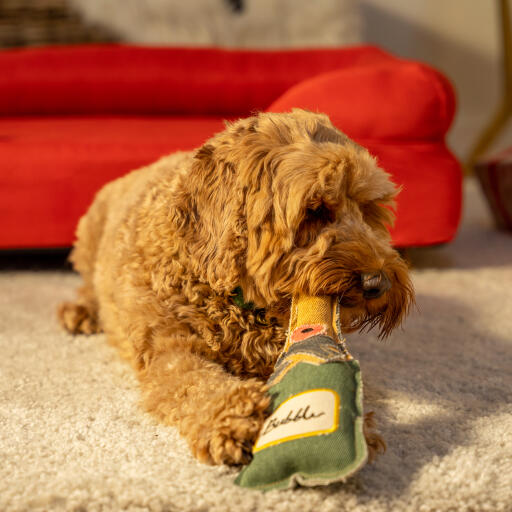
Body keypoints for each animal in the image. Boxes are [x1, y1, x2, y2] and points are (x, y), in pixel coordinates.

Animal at [58, 110, 414, 466]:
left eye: (368, 209)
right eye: (314, 210)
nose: (378, 283)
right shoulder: (168, 349)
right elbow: (194, 382)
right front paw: (234, 417)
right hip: (89, 238)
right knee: (88, 284)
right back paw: (81, 312)